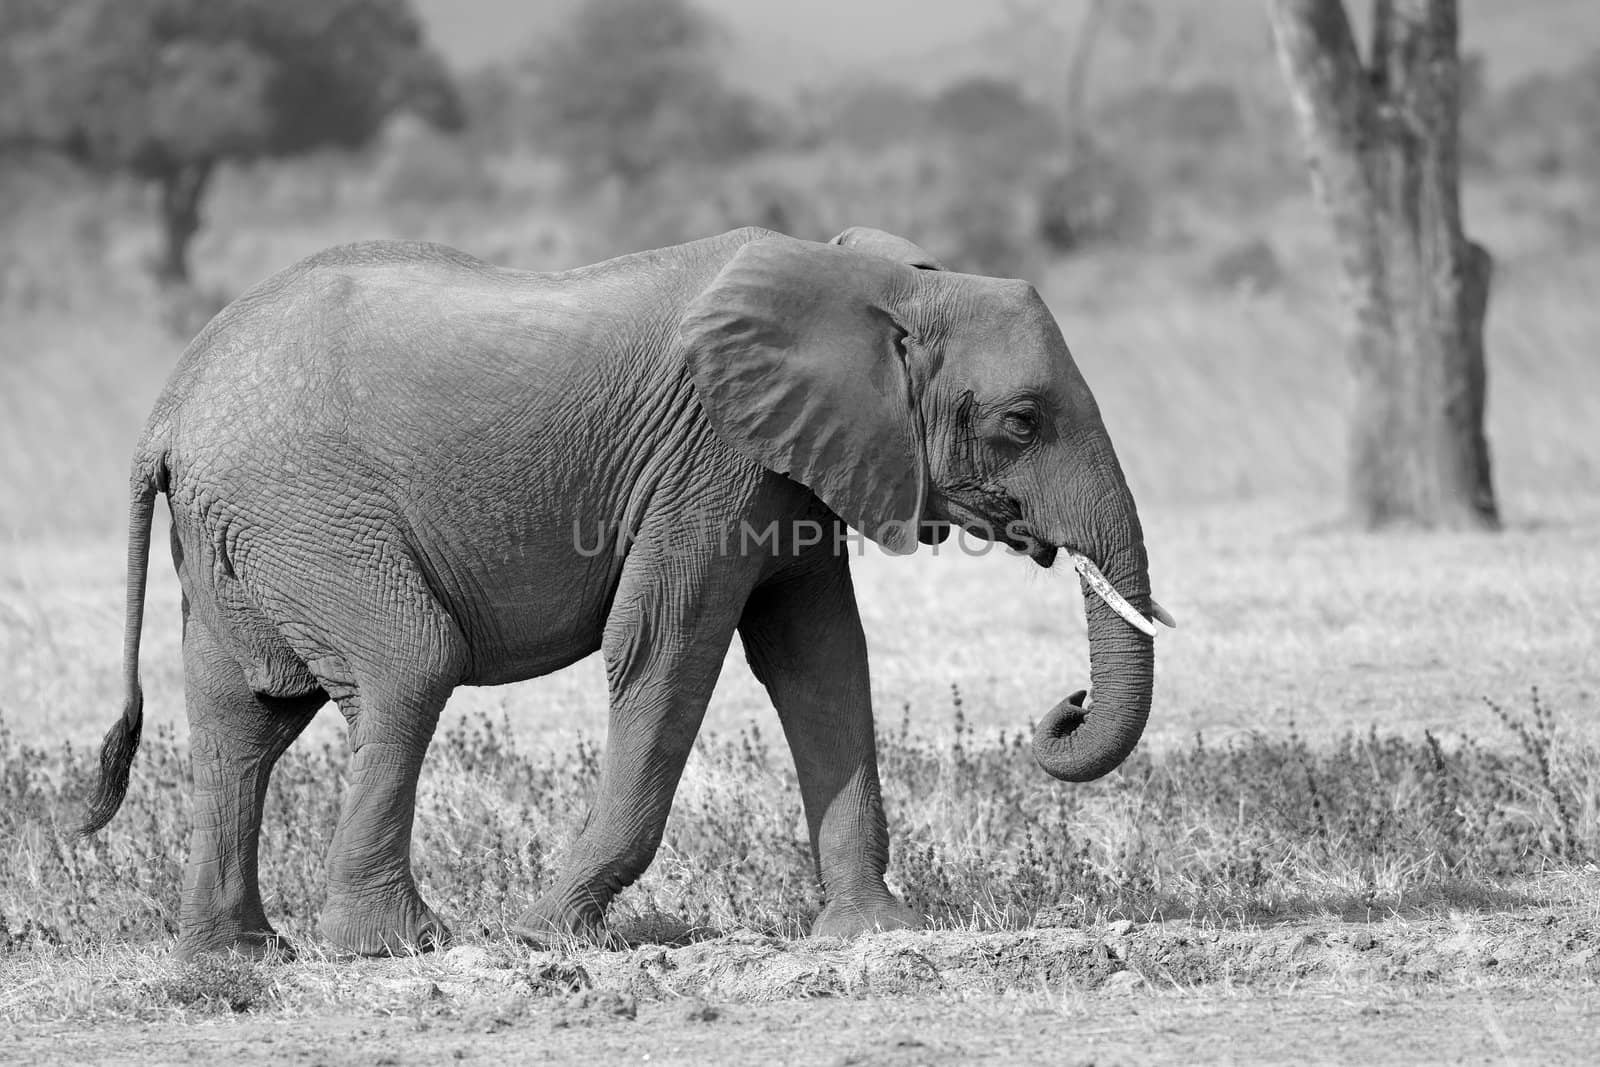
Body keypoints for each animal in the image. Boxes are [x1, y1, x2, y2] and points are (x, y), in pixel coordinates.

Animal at [78, 225, 1177, 959]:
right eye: (1021, 421)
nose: (1065, 704)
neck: (872, 283)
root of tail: (168, 404)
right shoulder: (712, 457)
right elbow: (668, 647)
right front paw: (542, 934)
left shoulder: (793, 467)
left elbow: (820, 658)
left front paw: (873, 933)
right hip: (304, 512)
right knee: (409, 664)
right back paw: (400, 942)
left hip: (239, 536)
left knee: (240, 714)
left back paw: (238, 956)